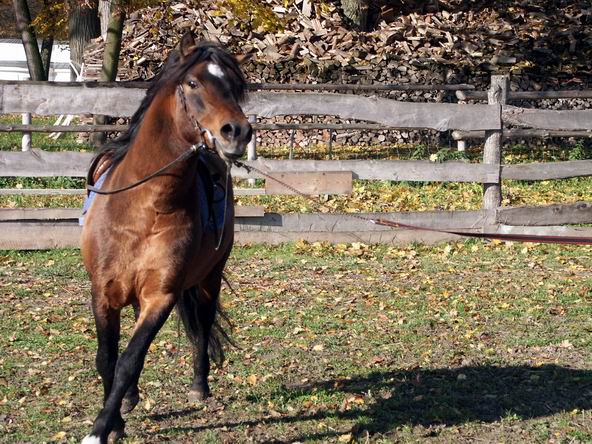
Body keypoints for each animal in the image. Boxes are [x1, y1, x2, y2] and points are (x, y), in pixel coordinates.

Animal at [79, 34, 252, 444]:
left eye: (235, 87)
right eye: (193, 83)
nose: (237, 132)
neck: (144, 208)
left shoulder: (161, 295)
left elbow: (129, 359)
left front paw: (102, 428)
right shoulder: (103, 292)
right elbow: (107, 358)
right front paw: (115, 419)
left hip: (209, 278)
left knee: (203, 322)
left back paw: (199, 386)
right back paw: (130, 398)